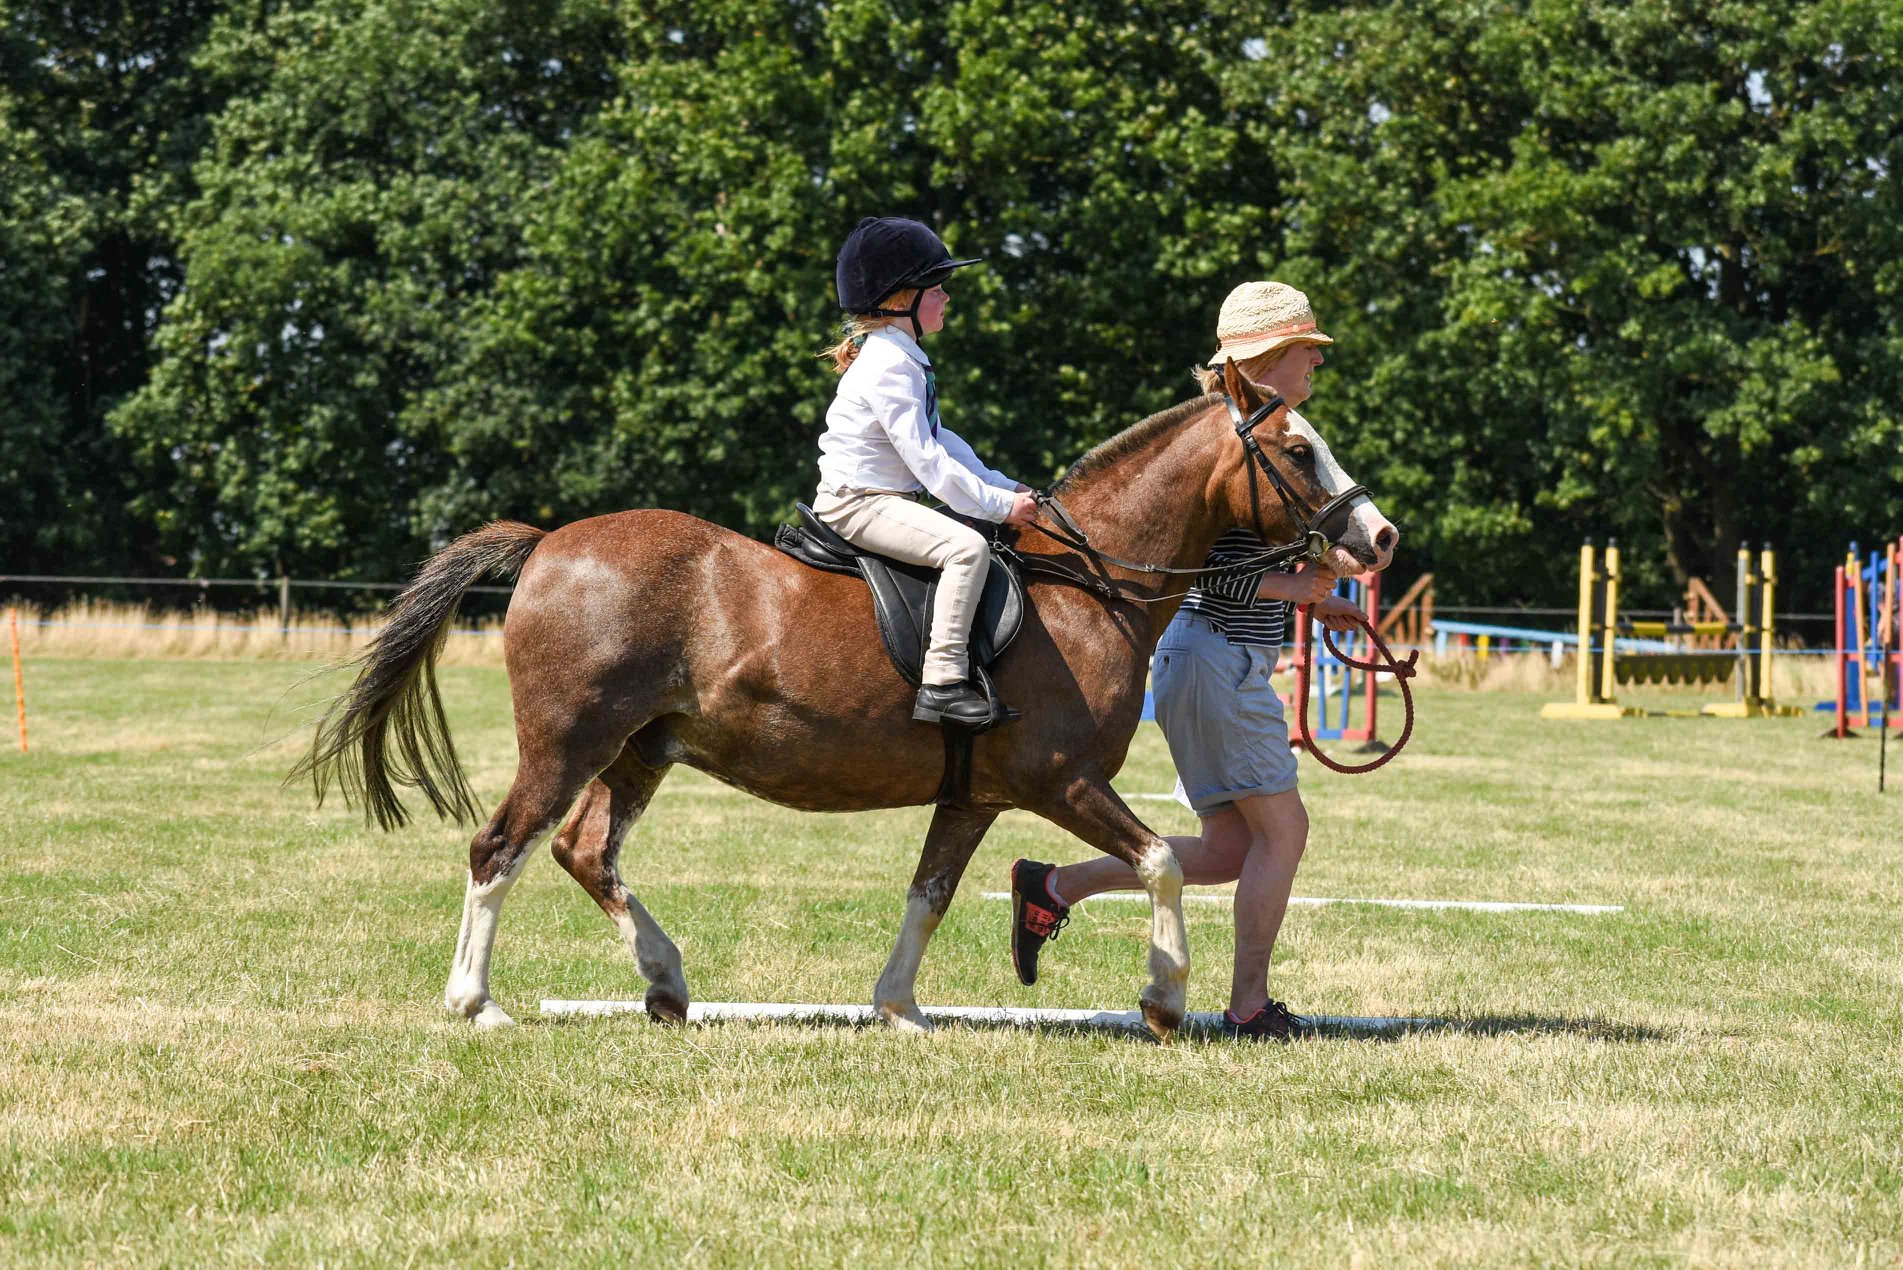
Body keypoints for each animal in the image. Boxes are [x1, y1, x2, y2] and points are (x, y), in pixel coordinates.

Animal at [293, 363, 1398, 1039]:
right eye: (1296, 450)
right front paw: (1165, 997)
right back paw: (475, 1002)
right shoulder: (1059, 778)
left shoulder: (976, 793)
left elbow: (930, 892)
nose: (1377, 538)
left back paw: (665, 981)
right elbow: (1163, 859)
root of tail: (548, 543)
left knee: (583, 851)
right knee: (502, 850)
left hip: (641, 748)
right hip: (569, 741)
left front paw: (898, 1007)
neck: (1087, 589)